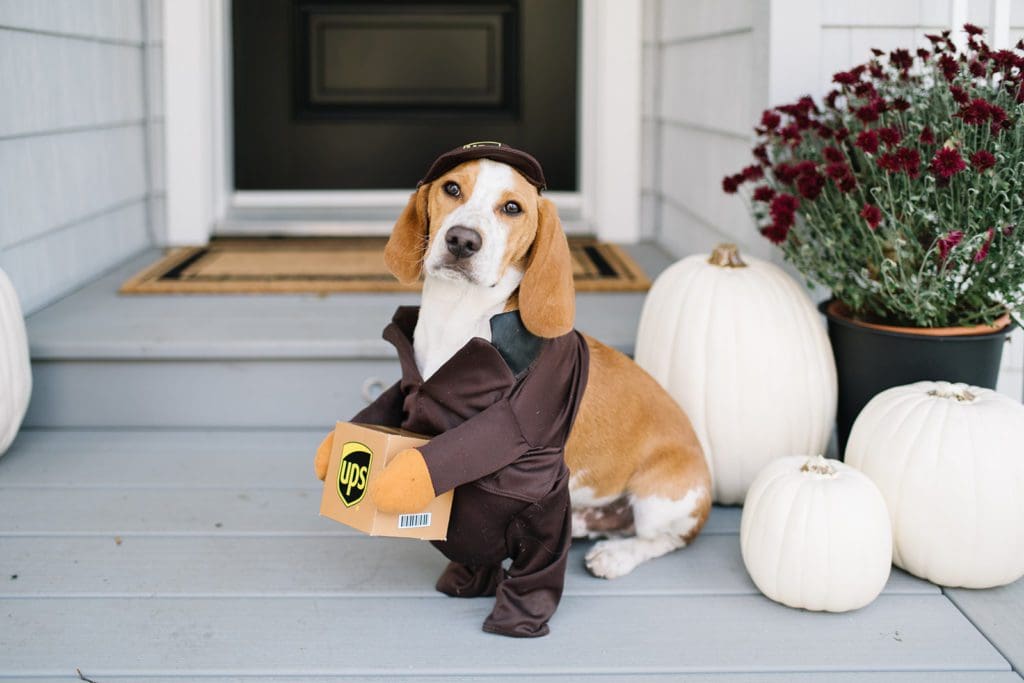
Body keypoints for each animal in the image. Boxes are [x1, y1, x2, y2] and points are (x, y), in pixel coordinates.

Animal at [313, 144, 712, 581]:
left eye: (512, 208)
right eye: (451, 188)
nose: (462, 240)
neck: (458, 315)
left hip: (659, 502)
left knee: (664, 540)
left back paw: (616, 554)